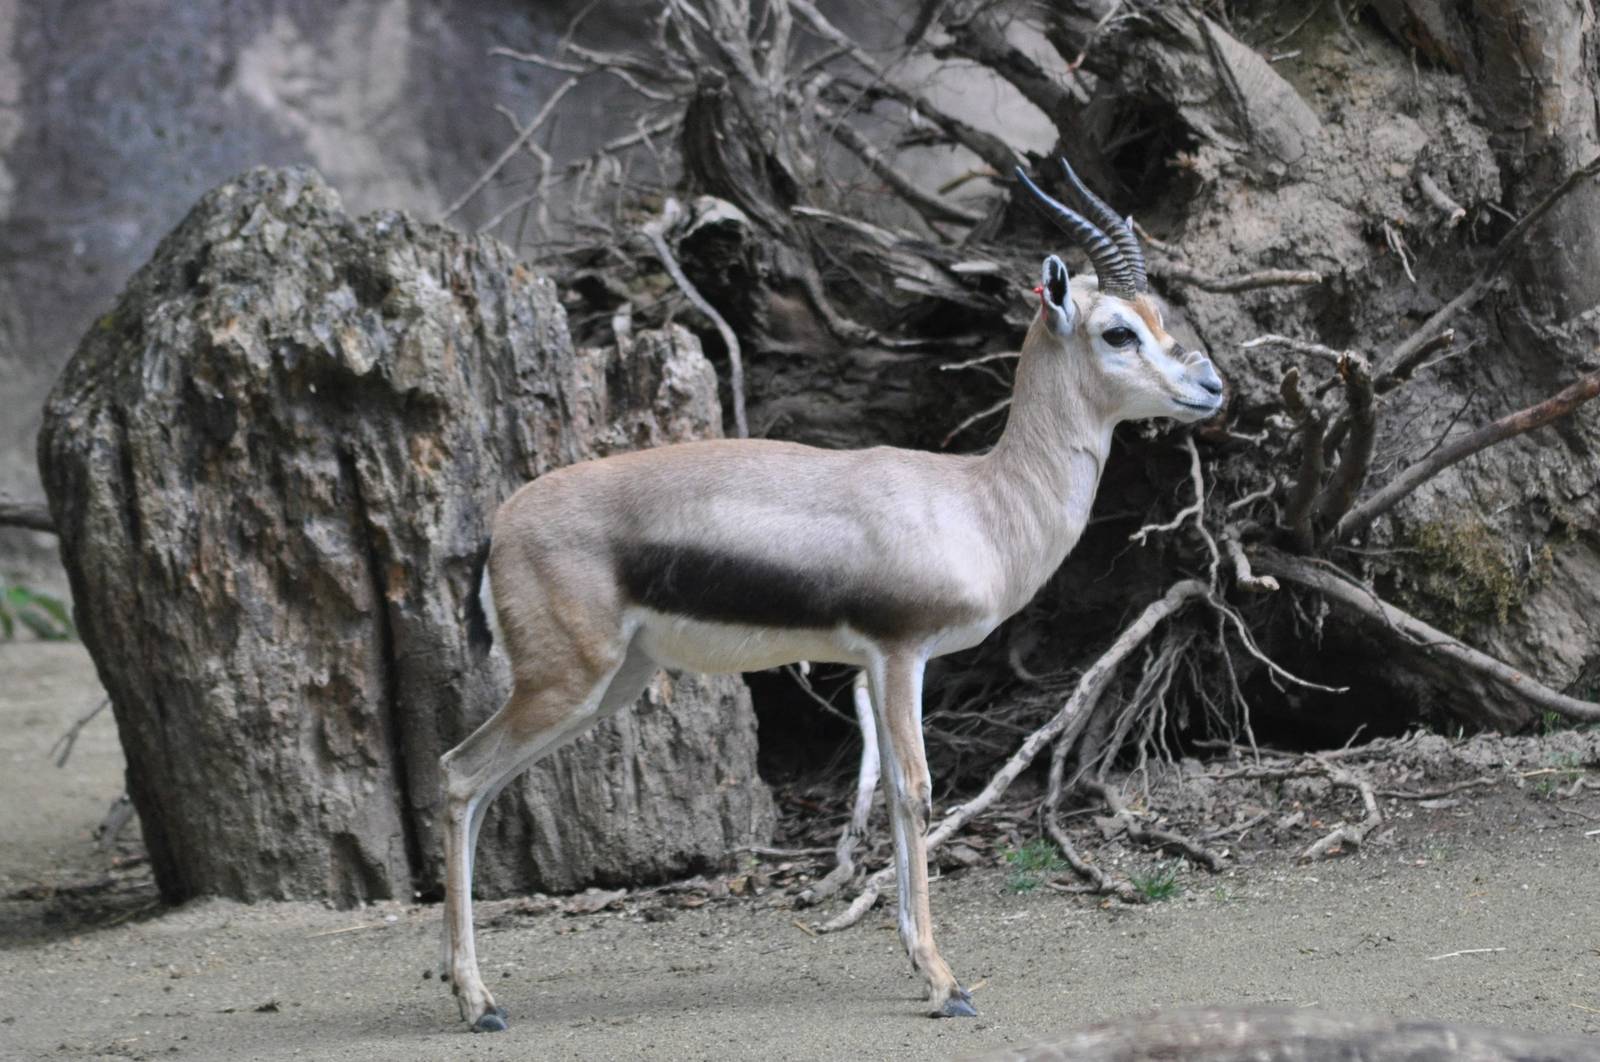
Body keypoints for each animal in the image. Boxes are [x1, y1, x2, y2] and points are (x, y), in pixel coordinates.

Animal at [438, 159, 1225, 1031]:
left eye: (1159, 316)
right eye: (1119, 331)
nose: (1211, 386)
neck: (979, 500)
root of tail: (501, 524)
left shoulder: (873, 666)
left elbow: (887, 798)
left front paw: (922, 965)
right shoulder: (899, 653)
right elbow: (915, 794)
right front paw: (945, 983)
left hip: (611, 684)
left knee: (480, 787)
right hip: (565, 681)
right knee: (458, 775)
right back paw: (477, 1002)